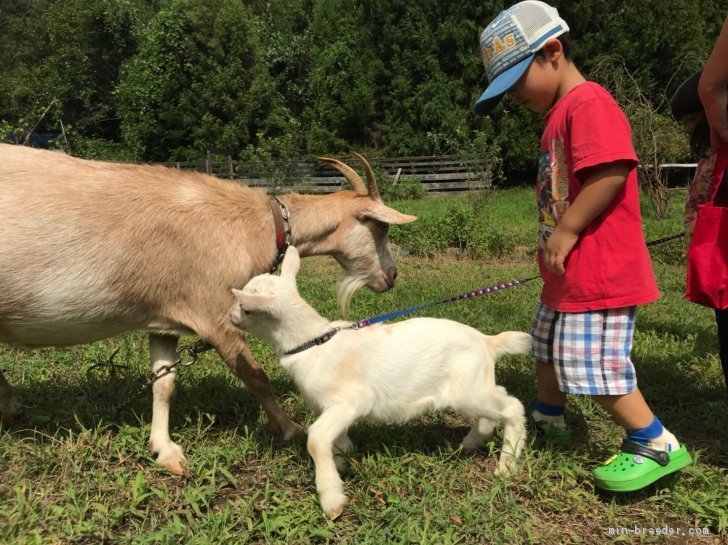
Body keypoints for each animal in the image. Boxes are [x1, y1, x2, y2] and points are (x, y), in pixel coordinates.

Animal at [0, 143, 416, 472]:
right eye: (380, 227)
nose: (391, 276)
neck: (253, 225)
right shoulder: (216, 311)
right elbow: (256, 377)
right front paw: (290, 429)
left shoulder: (164, 317)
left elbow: (164, 383)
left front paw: (165, 450)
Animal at [232, 246, 528, 520]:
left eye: (246, 308)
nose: (230, 315)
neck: (312, 342)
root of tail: (488, 342)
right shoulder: (332, 409)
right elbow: (335, 438)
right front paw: (343, 459)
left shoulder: (351, 400)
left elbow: (316, 438)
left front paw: (332, 499)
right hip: (476, 386)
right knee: (497, 402)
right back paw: (471, 441)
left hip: (468, 391)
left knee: (513, 407)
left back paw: (506, 466)